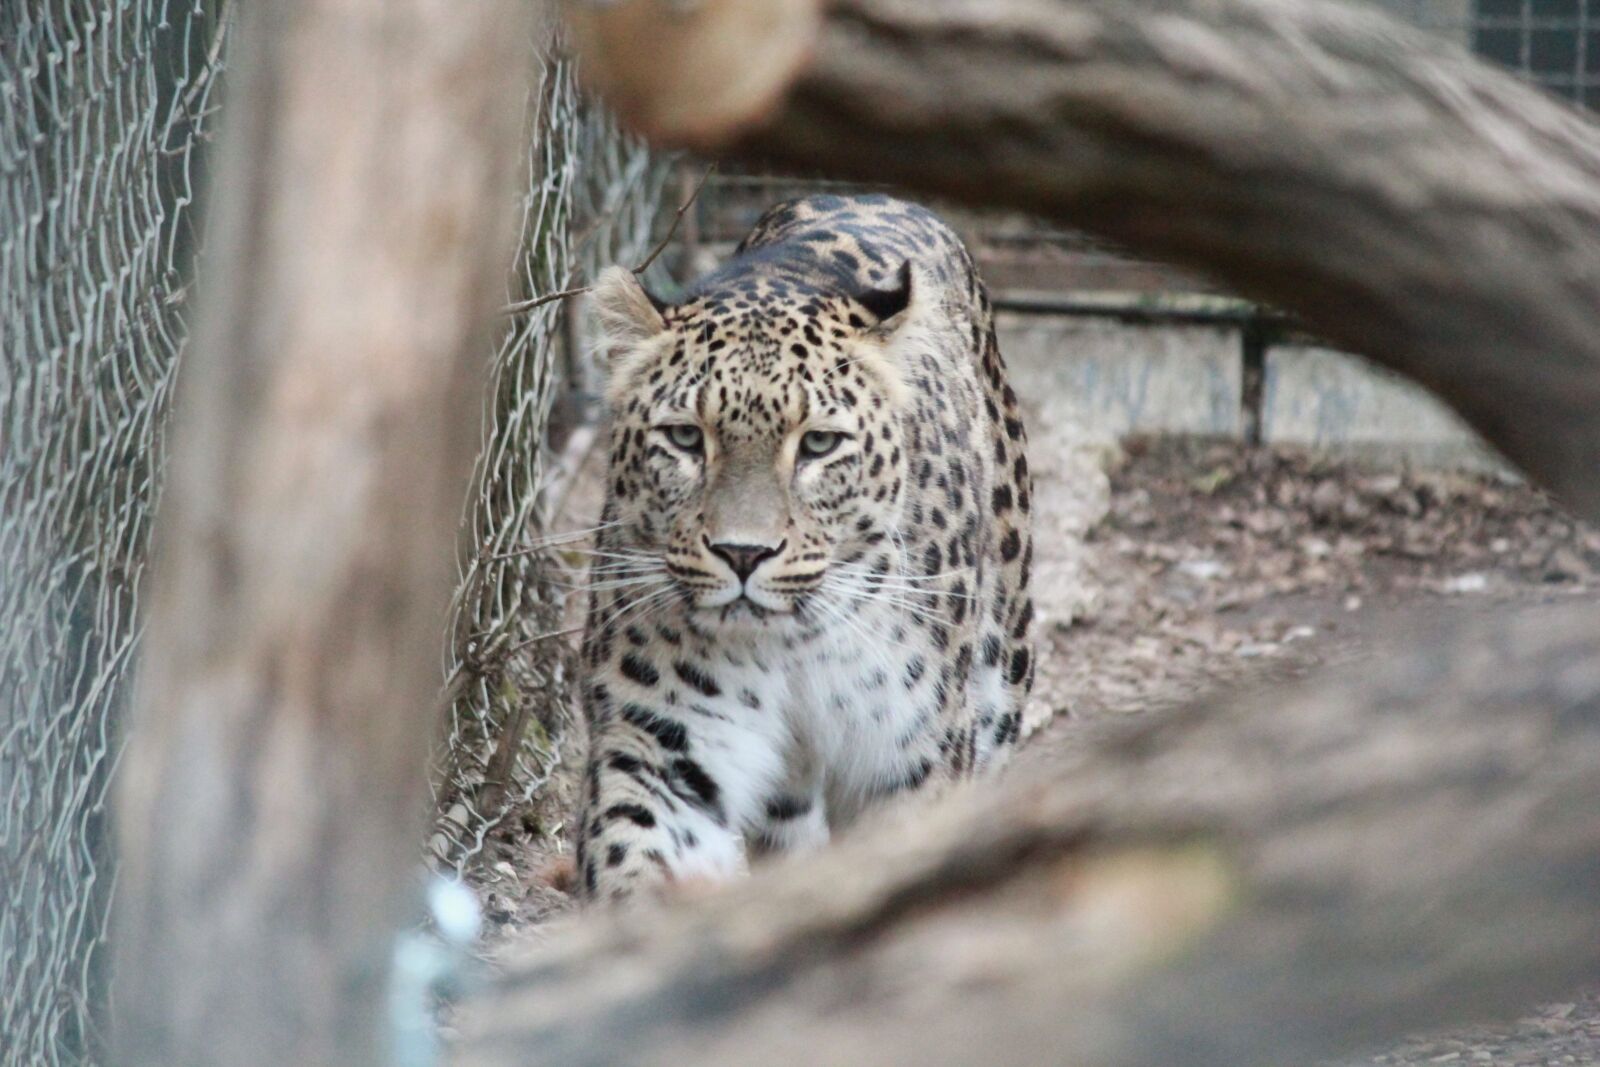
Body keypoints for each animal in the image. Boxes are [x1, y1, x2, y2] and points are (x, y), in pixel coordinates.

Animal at [571, 193, 1033, 903]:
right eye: (684, 437)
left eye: (818, 443)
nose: (742, 554)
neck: (792, 647)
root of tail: (873, 195)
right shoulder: (658, 746)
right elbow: (638, 859)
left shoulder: (910, 759)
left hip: (1002, 672)